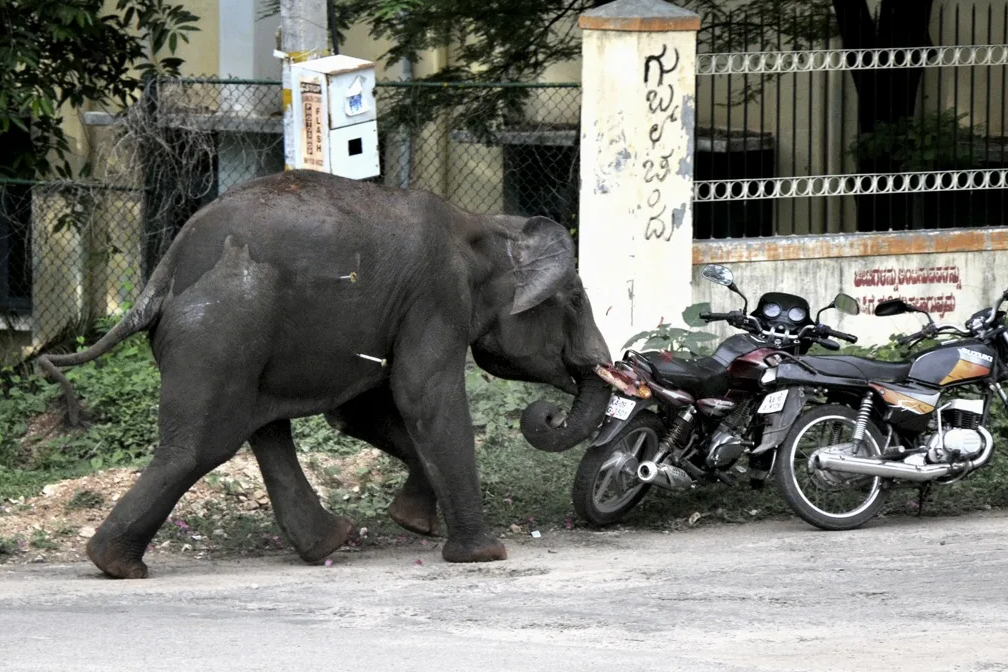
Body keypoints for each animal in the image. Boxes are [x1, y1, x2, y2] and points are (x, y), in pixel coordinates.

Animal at [35, 168, 608, 580]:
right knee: (204, 443)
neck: (484, 225)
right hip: (222, 325)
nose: (549, 414)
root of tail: (163, 273)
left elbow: (361, 414)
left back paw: (327, 543)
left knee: (260, 427)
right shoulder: (437, 296)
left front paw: (411, 522)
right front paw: (484, 556)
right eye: (577, 301)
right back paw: (117, 565)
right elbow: (423, 396)